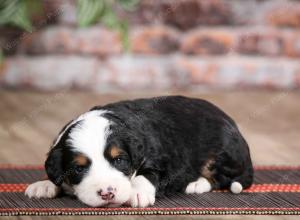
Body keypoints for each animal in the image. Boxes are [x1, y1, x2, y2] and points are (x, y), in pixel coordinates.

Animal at [25, 95, 253, 207]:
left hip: (222, 152)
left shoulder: (165, 160)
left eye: (119, 160)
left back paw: (196, 184)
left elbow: (147, 175)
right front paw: (43, 185)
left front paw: (136, 192)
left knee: (220, 177)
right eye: (78, 169)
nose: (107, 193)